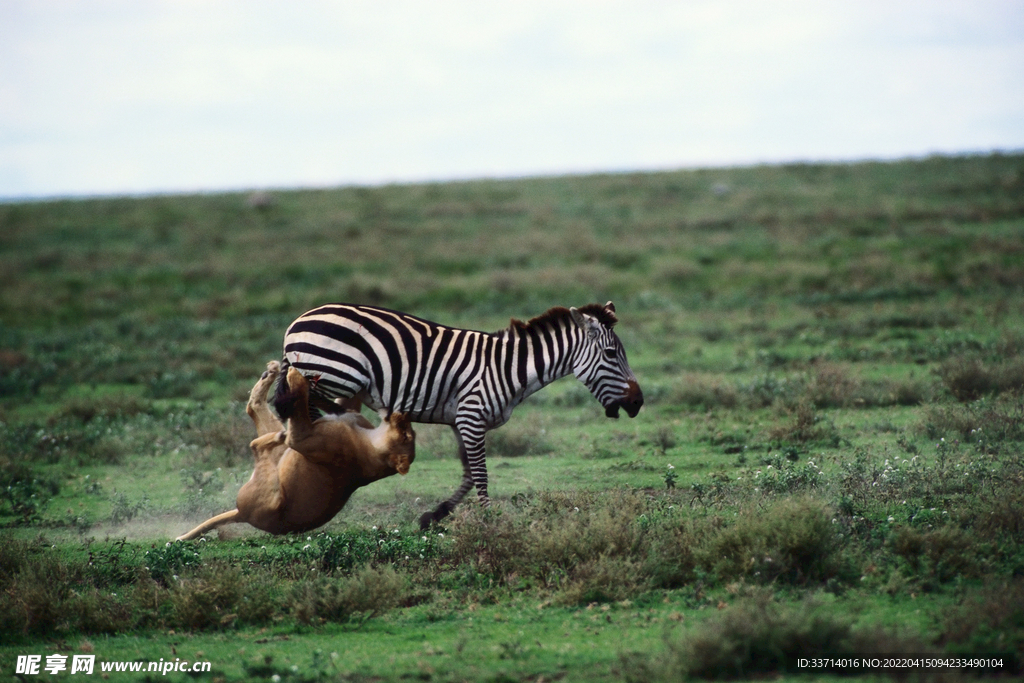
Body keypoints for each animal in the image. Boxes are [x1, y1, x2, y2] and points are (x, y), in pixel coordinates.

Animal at [276, 301, 643, 528]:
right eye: (611, 354)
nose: (638, 402)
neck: (508, 369)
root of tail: (297, 322)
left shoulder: (459, 419)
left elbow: (467, 474)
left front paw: (435, 515)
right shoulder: (472, 416)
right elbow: (481, 475)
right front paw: (490, 521)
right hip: (334, 375)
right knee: (303, 412)